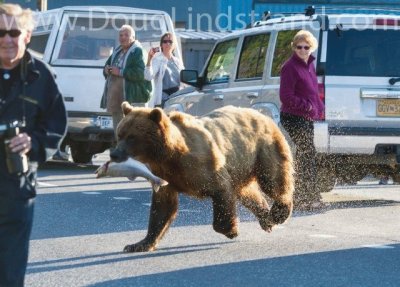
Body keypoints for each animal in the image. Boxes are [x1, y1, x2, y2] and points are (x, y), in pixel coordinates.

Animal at [111, 103, 296, 252]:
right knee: (249, 193)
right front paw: (138, 244)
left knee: (273, 179)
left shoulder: (201, 164)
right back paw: (267, 219)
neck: (169, 154)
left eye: (132, 137)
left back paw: (279, 212)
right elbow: (162, 208)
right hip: (241, 165)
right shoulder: (164, 174)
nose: (114, 154)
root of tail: (262, 114)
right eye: (119, 134)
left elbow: (220, 188)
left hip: (263, 149)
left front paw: (230, 230)